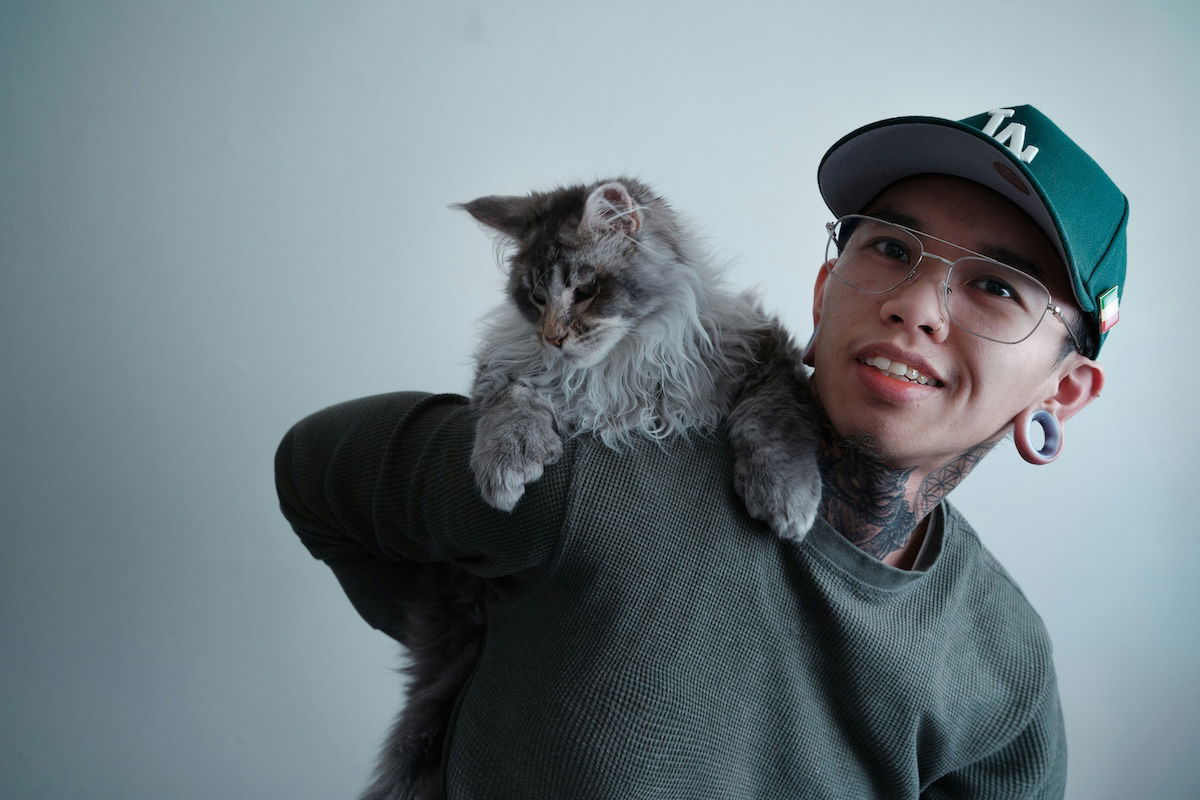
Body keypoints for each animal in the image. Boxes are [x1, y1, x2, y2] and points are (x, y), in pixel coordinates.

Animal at [360, 176, 820, 800]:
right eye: (534, 297)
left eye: (583, 290)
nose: (553, 338)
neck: (616, 375)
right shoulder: (506, 371)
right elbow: (512, 399)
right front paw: (506, 466)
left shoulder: (760, 354)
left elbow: (771, 421)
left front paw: (784, 499)